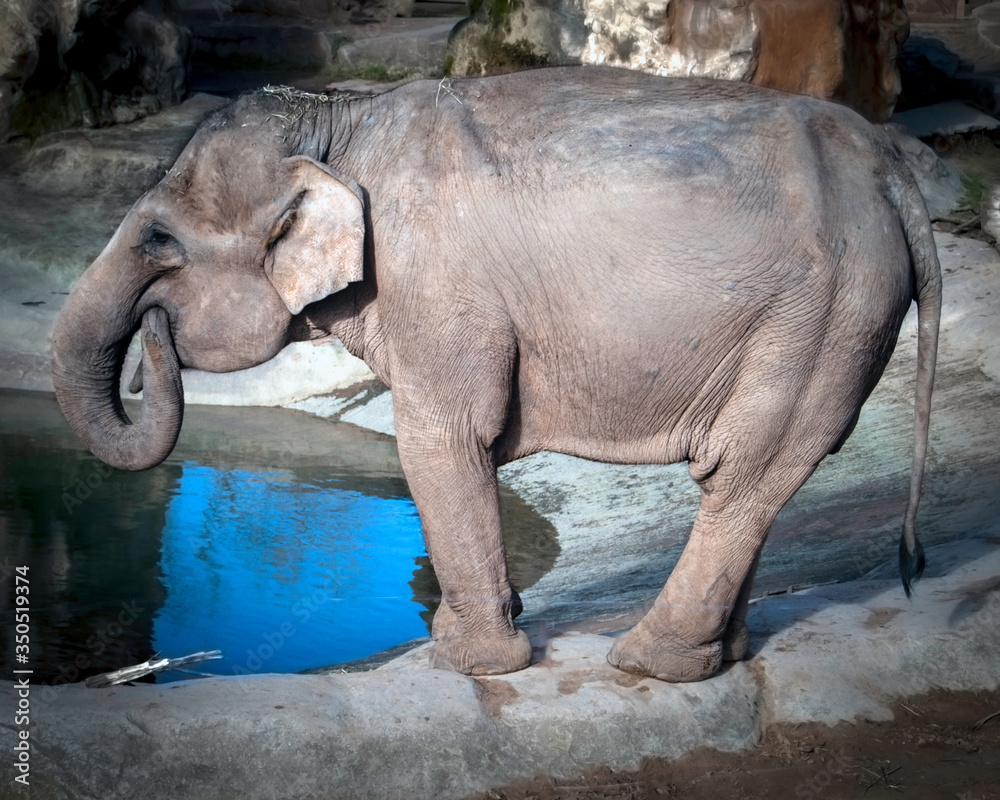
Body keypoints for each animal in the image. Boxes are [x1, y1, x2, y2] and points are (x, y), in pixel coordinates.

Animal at [51, 66, 941, 682]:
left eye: (159, 241)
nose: (150, 344)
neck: (336, 119)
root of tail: (893, 171)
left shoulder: (435, 281)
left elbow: (440, 440)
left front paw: (466, 661)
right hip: (838, 321)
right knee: (761, 478)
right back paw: (725, 655)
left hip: (822, 317)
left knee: (745, 475)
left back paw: (648, 664)